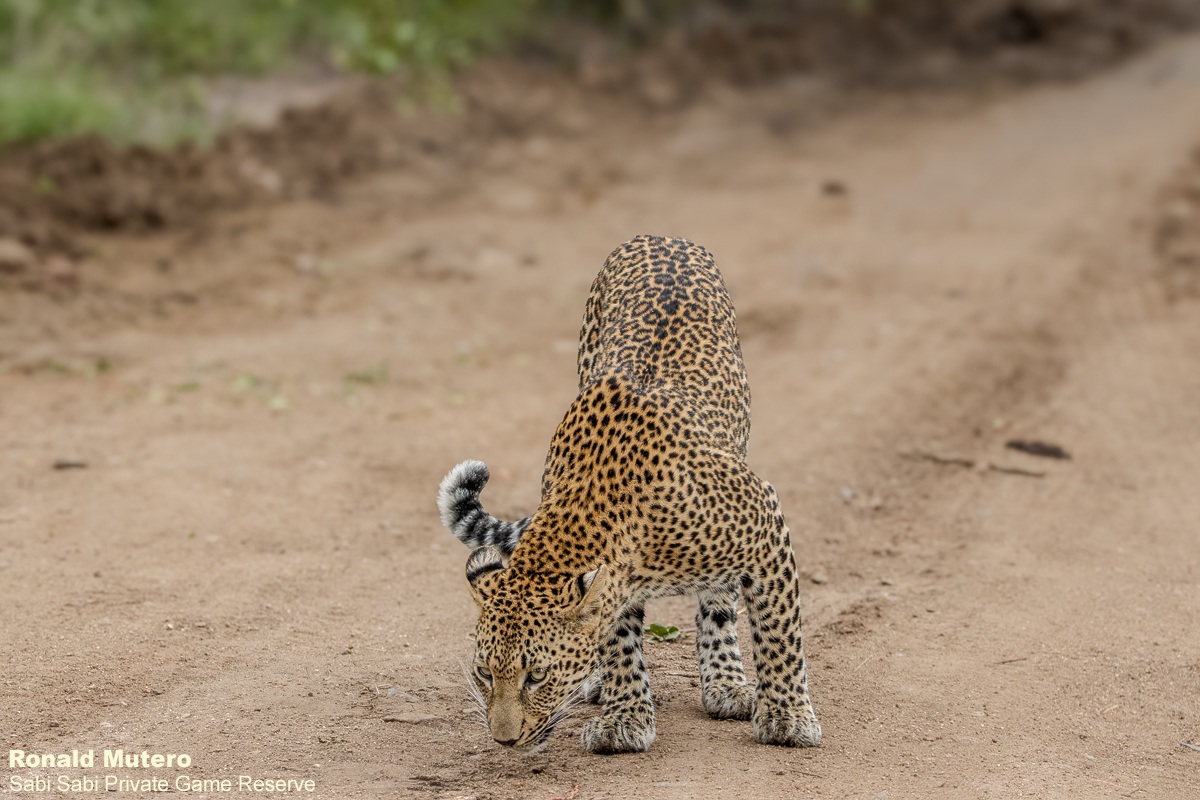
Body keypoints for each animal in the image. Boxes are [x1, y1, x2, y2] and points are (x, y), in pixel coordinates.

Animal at [436, 235, 821, 754]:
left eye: (536, 676)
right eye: (483, 673)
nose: (504, 740)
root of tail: (661, 236)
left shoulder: (763, 518)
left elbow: (779, 631)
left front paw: (786, 716)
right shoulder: (615, 582)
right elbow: (618, 639)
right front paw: (625, 716)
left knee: (720, 604)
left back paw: (726, 682)